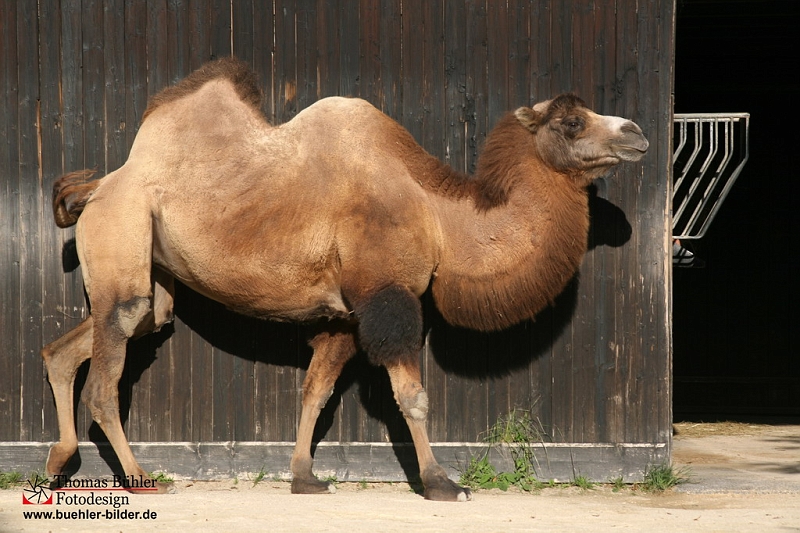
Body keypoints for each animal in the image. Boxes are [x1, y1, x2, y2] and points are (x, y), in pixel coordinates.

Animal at [41, 57, 648, 502]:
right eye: (571, 122)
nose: (637, 131)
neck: (438, 216)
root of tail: (97, 188)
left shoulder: (347, 313)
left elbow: (316, 391)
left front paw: (305, 478)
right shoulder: (387, 294)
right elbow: (412, 396)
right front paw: (441, 483)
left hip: (155, 278)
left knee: (74, 345)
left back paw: (57, 460)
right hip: (122, 236)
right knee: (106, 379)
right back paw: (141, 478)